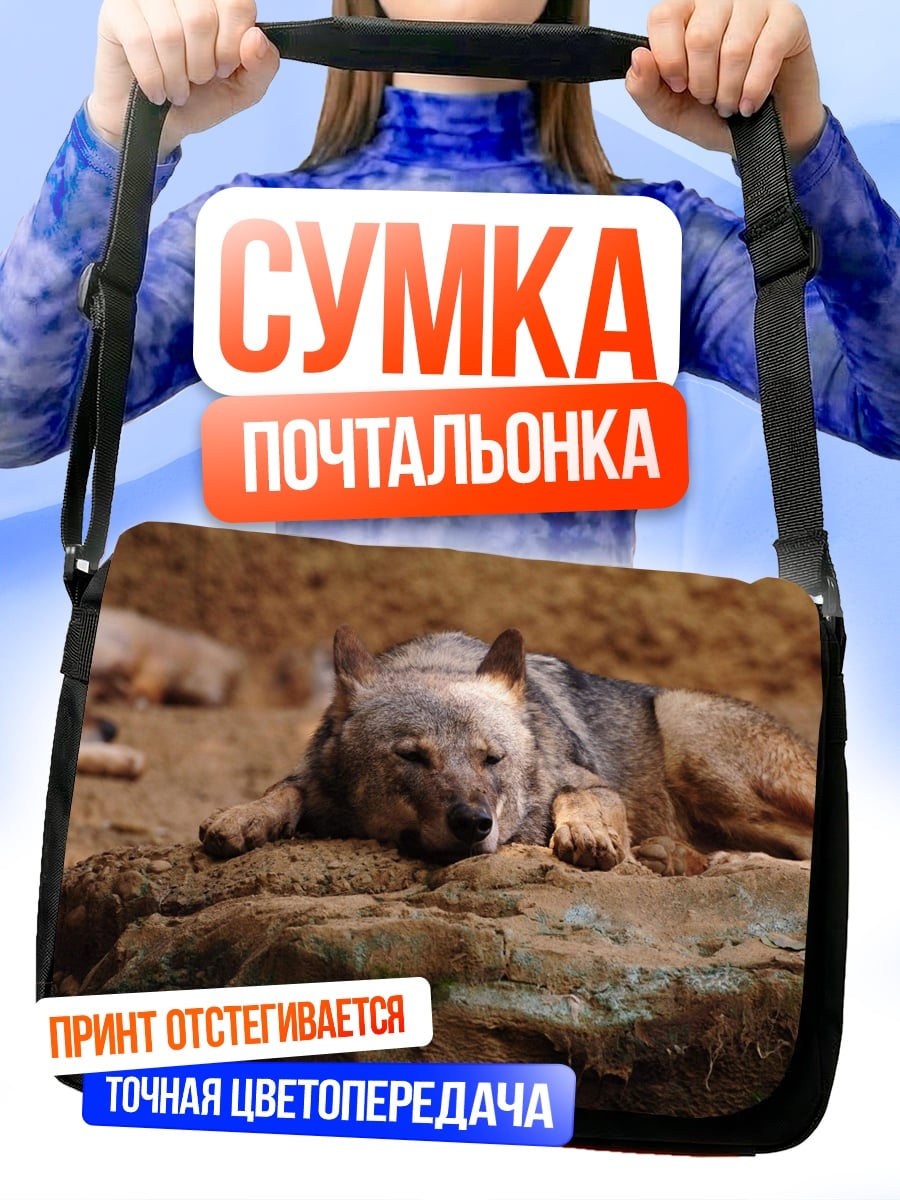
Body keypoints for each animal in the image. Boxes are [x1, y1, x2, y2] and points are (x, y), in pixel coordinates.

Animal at [199, 626, 815, 876]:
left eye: (492, 760)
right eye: (412, 757)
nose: (474, 823)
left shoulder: (586, 780)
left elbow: (580, 797)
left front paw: (588, 835)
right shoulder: (313, 777)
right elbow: (284, 789)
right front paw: (242, 817)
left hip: (688, 735)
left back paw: (730, 861)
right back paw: (678, 856)